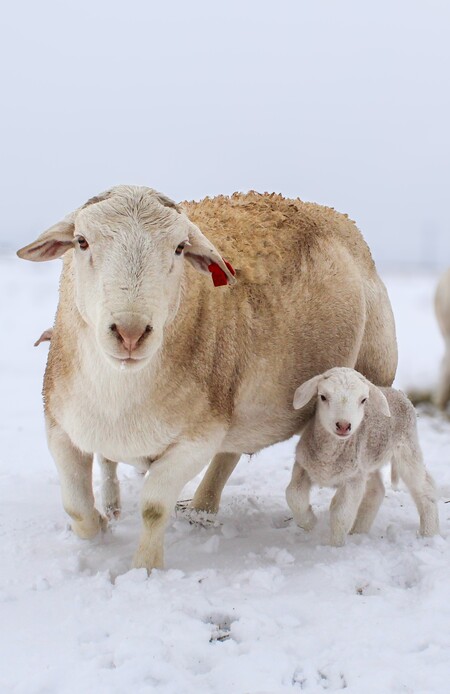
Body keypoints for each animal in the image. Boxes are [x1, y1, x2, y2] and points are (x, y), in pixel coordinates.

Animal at [17, 186, 398, 572]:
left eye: (179, 248)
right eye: (81, 241)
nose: (130, 332)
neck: (120, 391)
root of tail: (332, 213)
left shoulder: (196, 440)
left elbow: (154, 507)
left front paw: (146, 569)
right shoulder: (60, 427)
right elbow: (77, 508)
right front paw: (100, 529)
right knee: (230, 453)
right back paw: (201, 510)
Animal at [286, 367, 439, 546]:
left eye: (363, 400)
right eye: (323, 396)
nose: (343, 425)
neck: (329, 456)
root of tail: (400, 393)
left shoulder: (353, 479)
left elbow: (341, 515)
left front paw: (335, 546)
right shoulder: (302, 465)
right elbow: (294, 496)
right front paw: (309, 522)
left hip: (407, 447)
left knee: (424, 487)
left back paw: (428, 533)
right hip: (368, 462)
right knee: (377, 491)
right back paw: (359, 531)